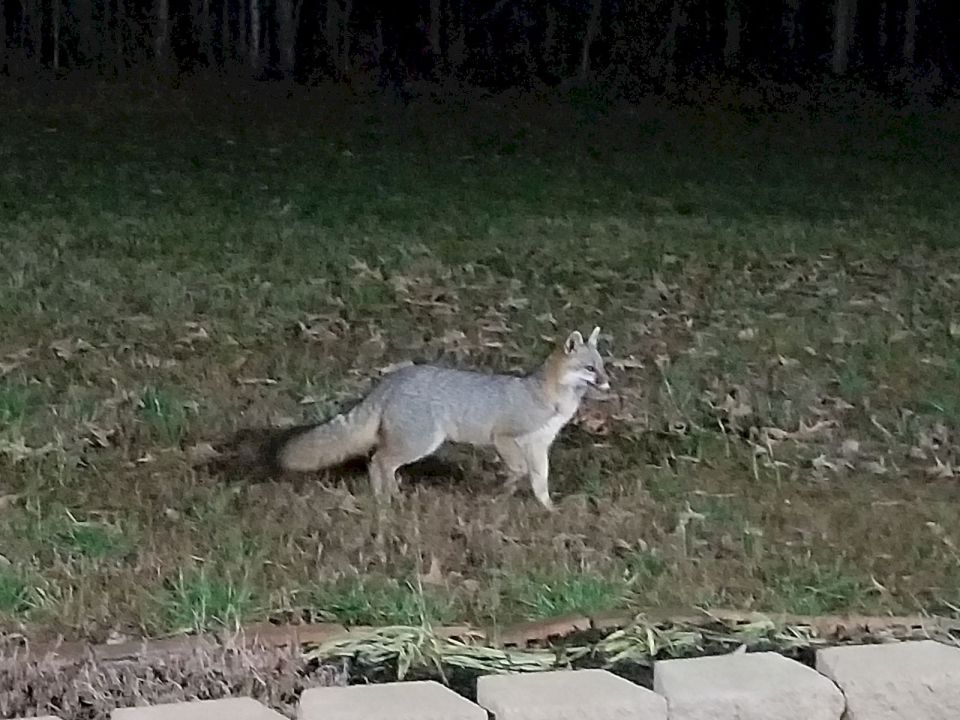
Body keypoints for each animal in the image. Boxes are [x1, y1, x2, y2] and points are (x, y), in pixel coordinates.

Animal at [262, 326, 610, 509]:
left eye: (604, 367)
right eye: (590, 369)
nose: (608, 383)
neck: (550, 396)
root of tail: (392, 380)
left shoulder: (540, 446)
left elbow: (540, 481)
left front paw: (547, 508)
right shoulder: (505, 437)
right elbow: (520, 469)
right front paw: (506, 489)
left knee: (380, 462)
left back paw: (387, 497)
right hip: (421, 443)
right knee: (379, 461)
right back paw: (388, 499)